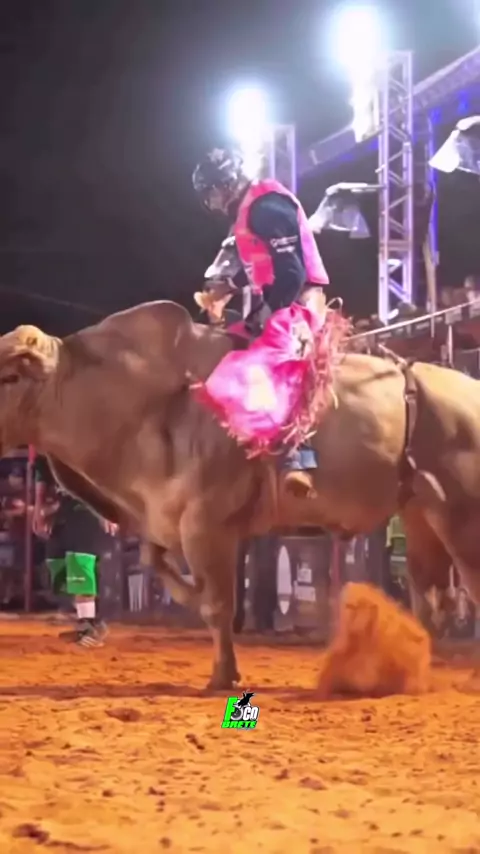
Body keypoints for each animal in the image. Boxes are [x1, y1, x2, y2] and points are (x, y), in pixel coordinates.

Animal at [0, 300, 478, 689]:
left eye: (10, 374)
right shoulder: (166, 519)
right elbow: (158, 563)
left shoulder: (205, 526)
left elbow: (216, 602)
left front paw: (222, 675)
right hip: (421, 515)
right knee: (434, 599)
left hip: (460, 518)